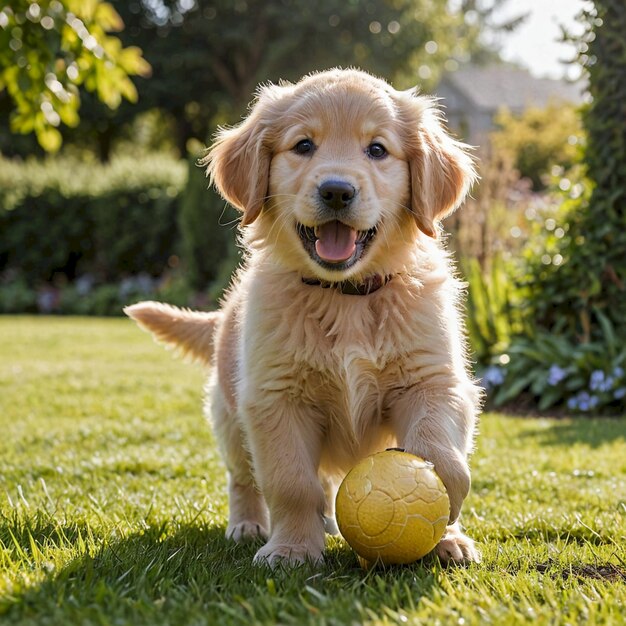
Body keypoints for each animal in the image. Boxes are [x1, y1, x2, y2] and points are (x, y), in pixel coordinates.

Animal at [124, 68, 480, 564]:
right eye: (304, 145)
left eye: (377, 149)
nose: (337, 191)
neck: (345, 296)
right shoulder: (275, 398)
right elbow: (290, 481)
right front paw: (291, 548)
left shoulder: (432, 378)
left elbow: (439, 448)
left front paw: (446, 521)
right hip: (229, 415)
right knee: (244, 477)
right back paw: (249, 524)